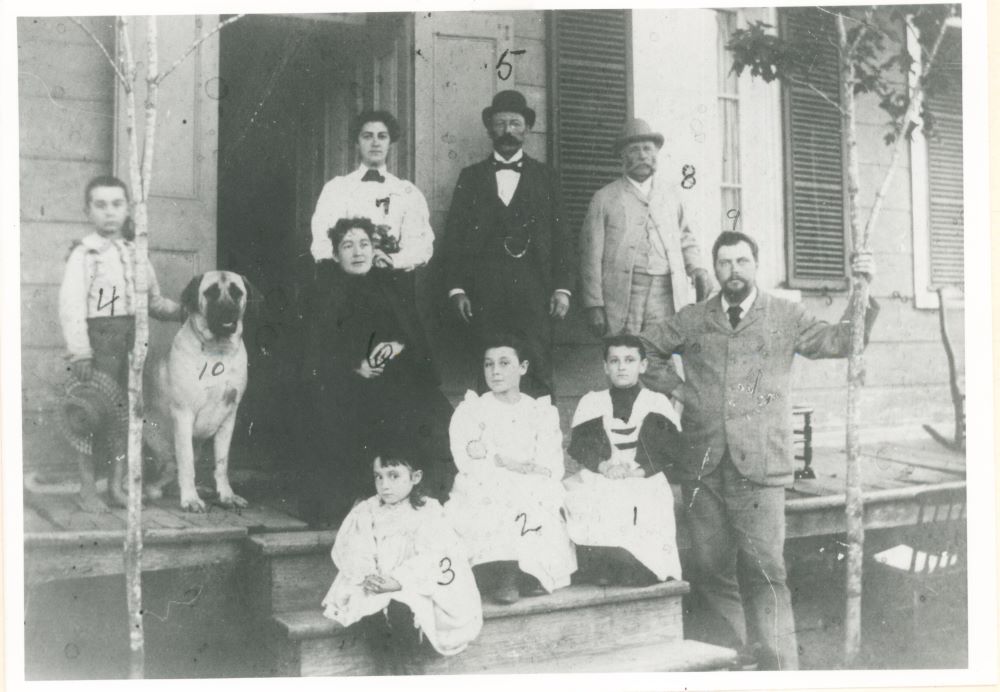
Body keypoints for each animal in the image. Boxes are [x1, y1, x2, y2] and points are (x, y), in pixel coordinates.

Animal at [145, 274, 254, 510]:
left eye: (237, 292)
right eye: (211, 292)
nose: (227, 310)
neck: (218, 351)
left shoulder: (229, 416)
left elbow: (222, 462)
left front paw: (227, 495)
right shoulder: (183, 414)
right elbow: (186, 463)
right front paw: (190, 500)